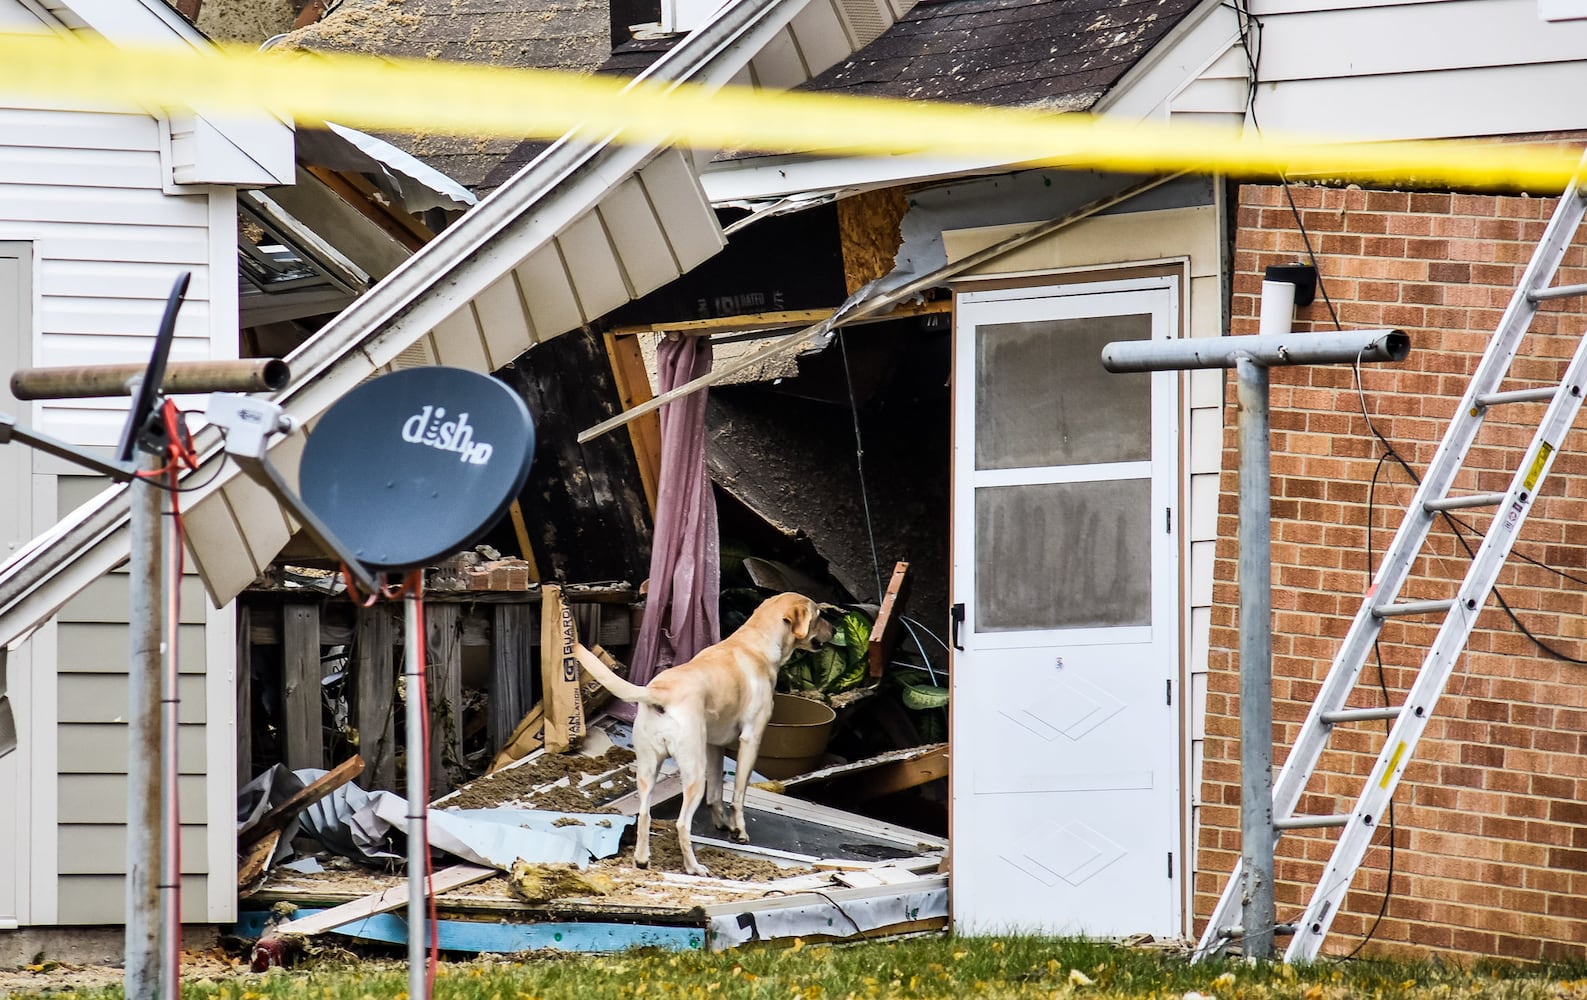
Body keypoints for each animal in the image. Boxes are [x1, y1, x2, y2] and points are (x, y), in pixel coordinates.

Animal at [574, 596, 844, 876]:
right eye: (819, 615)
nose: (835, 629)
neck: (755, 641)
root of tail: (661, 691)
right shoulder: (751, 739)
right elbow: (737, 795)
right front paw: (739, 831)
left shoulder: (714, 745)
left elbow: (716, 794)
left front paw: (723, 822)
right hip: (694, 772)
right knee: (682, 823)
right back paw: (694, 867)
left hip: (648, 769)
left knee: (645, 813)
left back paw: (642, 859)